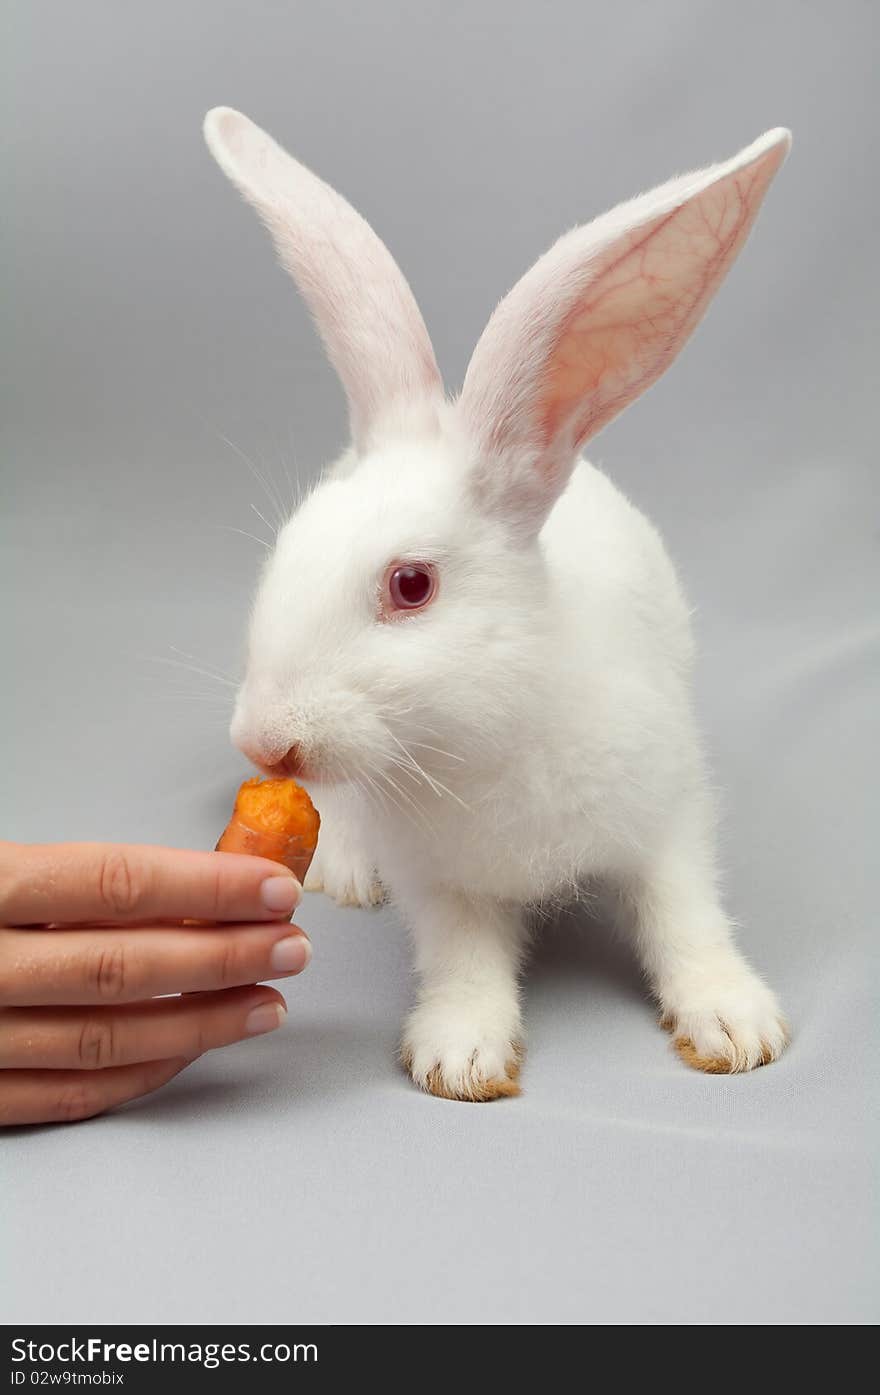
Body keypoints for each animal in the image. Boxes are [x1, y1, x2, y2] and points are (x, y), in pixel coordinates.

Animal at [205, 106, 792, 1099]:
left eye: (411, 585)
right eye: (283, 553)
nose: (263, 741)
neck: (487, 731)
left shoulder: (667, 820)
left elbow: (686, 917)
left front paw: (736, 1029)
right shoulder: (443, 884)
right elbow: (463, 959)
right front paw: (461, 1056)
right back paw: (345, 868)